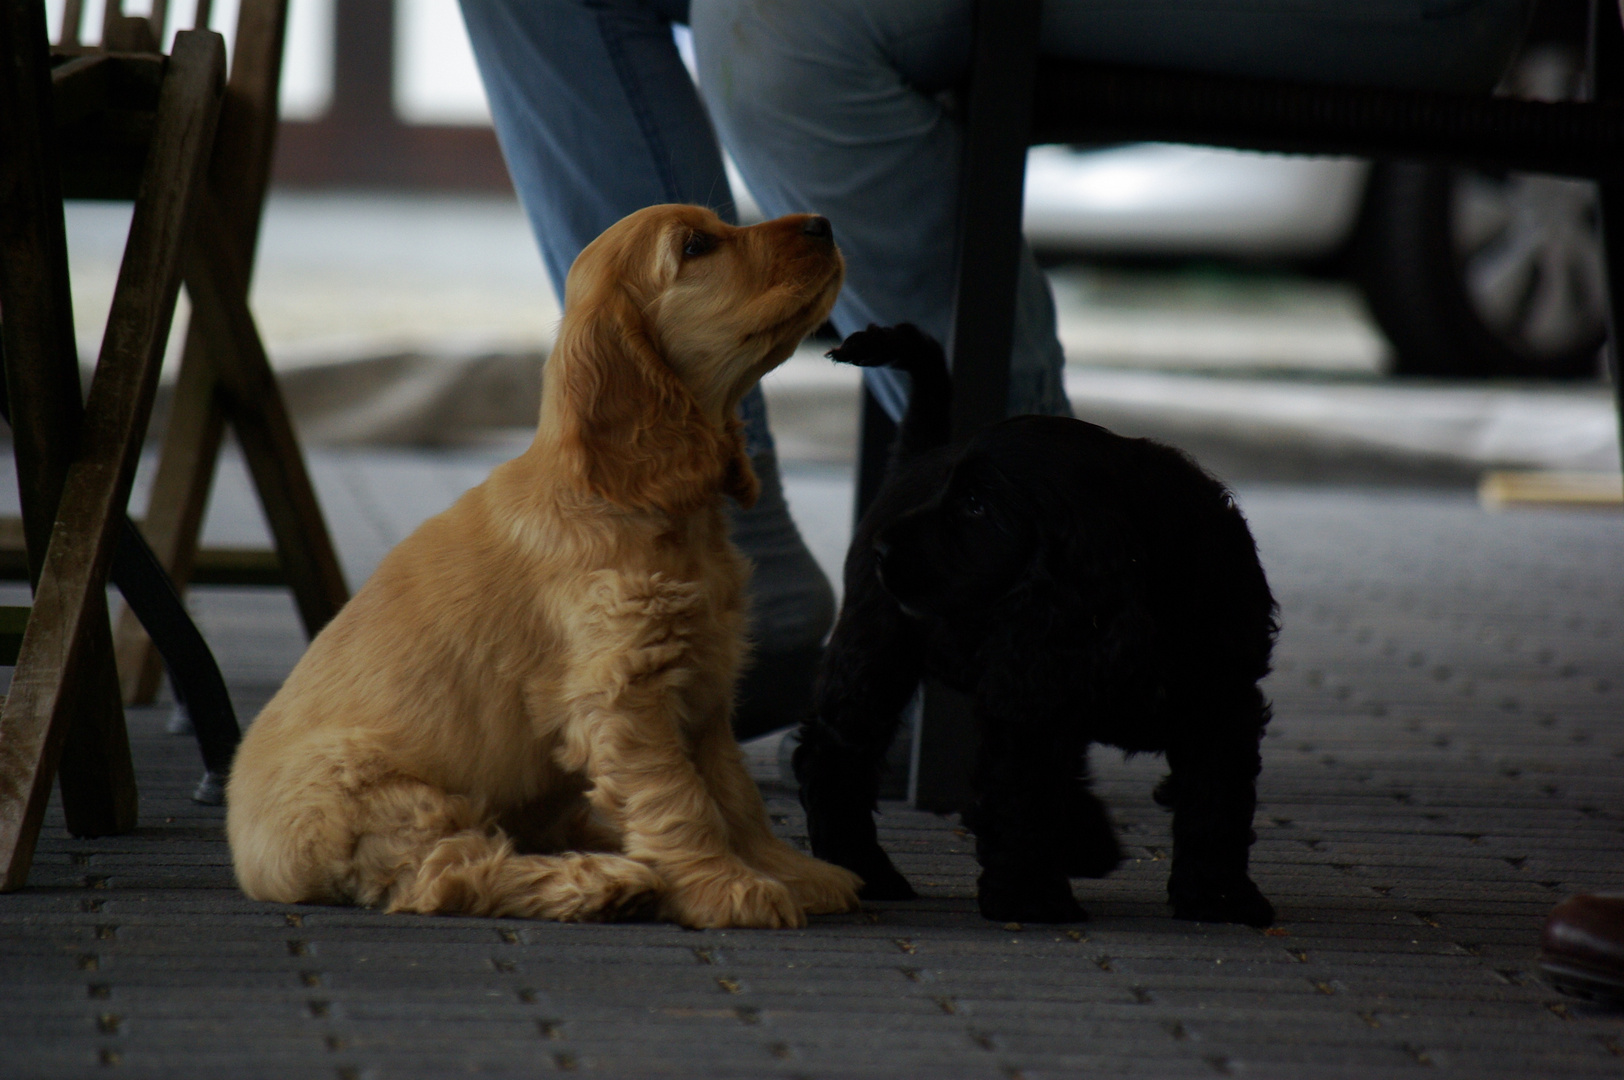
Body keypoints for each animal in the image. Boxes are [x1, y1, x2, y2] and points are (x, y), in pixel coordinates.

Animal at [232, 204, 863, 928]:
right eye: (696, 246)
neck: (638, 502)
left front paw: (791, 872)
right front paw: (727, 887)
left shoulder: (703, 684)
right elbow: (680, 800)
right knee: (450, 872)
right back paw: (607, 885)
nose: (822, 224)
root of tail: (250, 861)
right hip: (382, 793)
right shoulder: (625, 692)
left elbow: (733, 793)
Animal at [799, 324, 1279, 922]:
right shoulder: (1030, 684)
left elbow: (1218, 801)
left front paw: (1219, 896)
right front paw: (1032, 893)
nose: (883, 548)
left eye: (976, 505)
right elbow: (1025, 790)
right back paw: (866, 870)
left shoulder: (1223, 701)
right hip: (875, 648)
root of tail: (916, 456)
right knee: (832, 756)